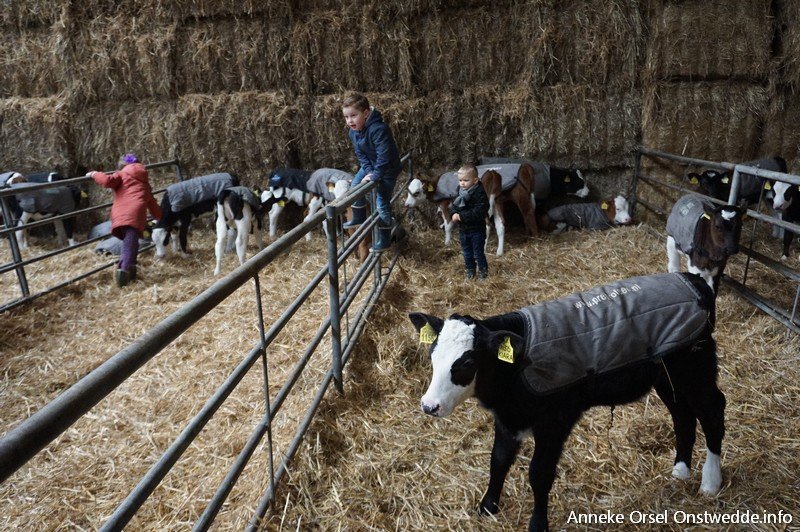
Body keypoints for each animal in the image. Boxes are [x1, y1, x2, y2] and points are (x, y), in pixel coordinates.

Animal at [410, 272, 724, 532]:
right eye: (432, 354)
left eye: (467, 362)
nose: (429, 406)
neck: (518, 367)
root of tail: (692, 279)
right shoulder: (509, 418)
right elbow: (498, 460)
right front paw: (487, 507)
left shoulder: (554, 422)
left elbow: (539, 474)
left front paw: (537, 525)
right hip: (667, 377)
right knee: (682, 414)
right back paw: (681, 470)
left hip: (695, 366)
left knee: (712, 410)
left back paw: (710, 481)